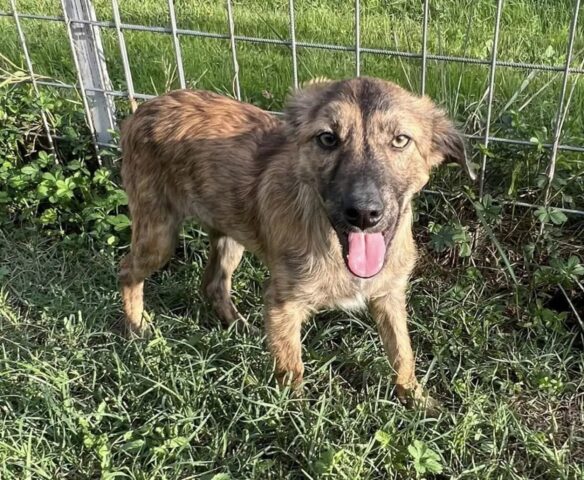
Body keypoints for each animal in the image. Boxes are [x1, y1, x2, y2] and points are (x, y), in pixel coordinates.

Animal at [118, 77, 474, 410]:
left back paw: (241, 327)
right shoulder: (283, 304)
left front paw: (416, 398)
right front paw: (295, 417)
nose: (363, 213)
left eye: (400, 140)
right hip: (158, 235)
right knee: (127, 271)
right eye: (327, 138)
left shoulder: (389, 295)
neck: (335, 247)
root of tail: (145, 108)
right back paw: (137, 329)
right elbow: (292, 369)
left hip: (230, 234)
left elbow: (402, 353)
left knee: (213, 283)